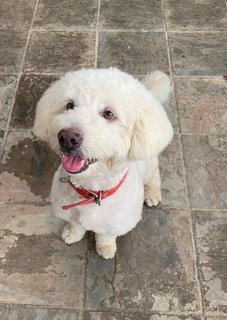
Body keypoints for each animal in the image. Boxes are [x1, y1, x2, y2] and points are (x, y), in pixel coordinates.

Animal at [33, 67, 173, 258]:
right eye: (70, 105)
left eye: (109, 114)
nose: (67, 138)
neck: (92, 192)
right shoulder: (67, 211)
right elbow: (76, 225)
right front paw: (72, 233)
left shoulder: (117, 222)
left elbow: (106, 234)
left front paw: (105, 247)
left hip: (149, 164)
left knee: (154, 176)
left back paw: (153, 193)